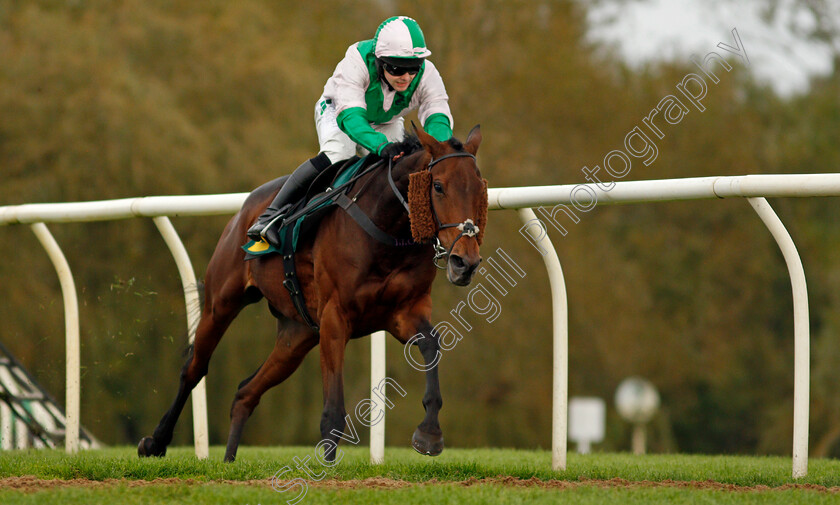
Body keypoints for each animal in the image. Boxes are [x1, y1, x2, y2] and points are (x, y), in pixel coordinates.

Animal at [138, 123, 488, 460]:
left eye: (481, 188)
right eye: (438, 186)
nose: (465, 262)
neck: (387, 230)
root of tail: (245, 209)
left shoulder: (403, 313)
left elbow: (432, 344)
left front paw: (429, 433)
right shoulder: (335, 316)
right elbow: (333, 408)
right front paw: (327, 465)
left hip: (297, 335)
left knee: (245, 392)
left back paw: (228, 461)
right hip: (221, 303)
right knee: (194, 368)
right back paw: (155, 442)